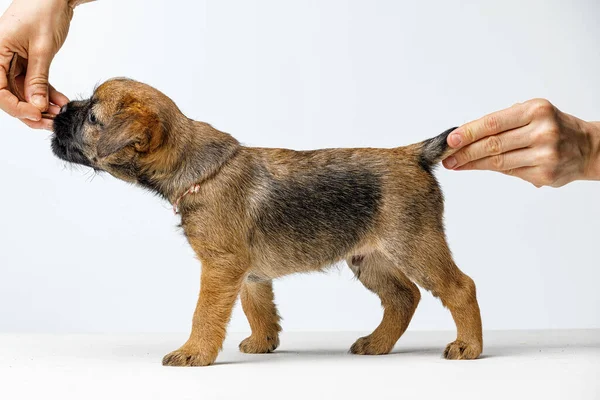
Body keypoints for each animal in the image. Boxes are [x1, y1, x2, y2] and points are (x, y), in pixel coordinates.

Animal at [51, 78, 482, 366]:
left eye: (92, 116)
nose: (60, 110)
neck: (196, 168)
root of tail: (411, 153)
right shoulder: (246, 272)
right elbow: (256, 306)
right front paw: (263, 341)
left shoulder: (220, 266)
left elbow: (205, 312)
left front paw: (194, 352)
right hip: (368, 257)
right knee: (402, 297)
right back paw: (377, 344)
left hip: (414, 245)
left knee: (460, 287)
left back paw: (469, 347)